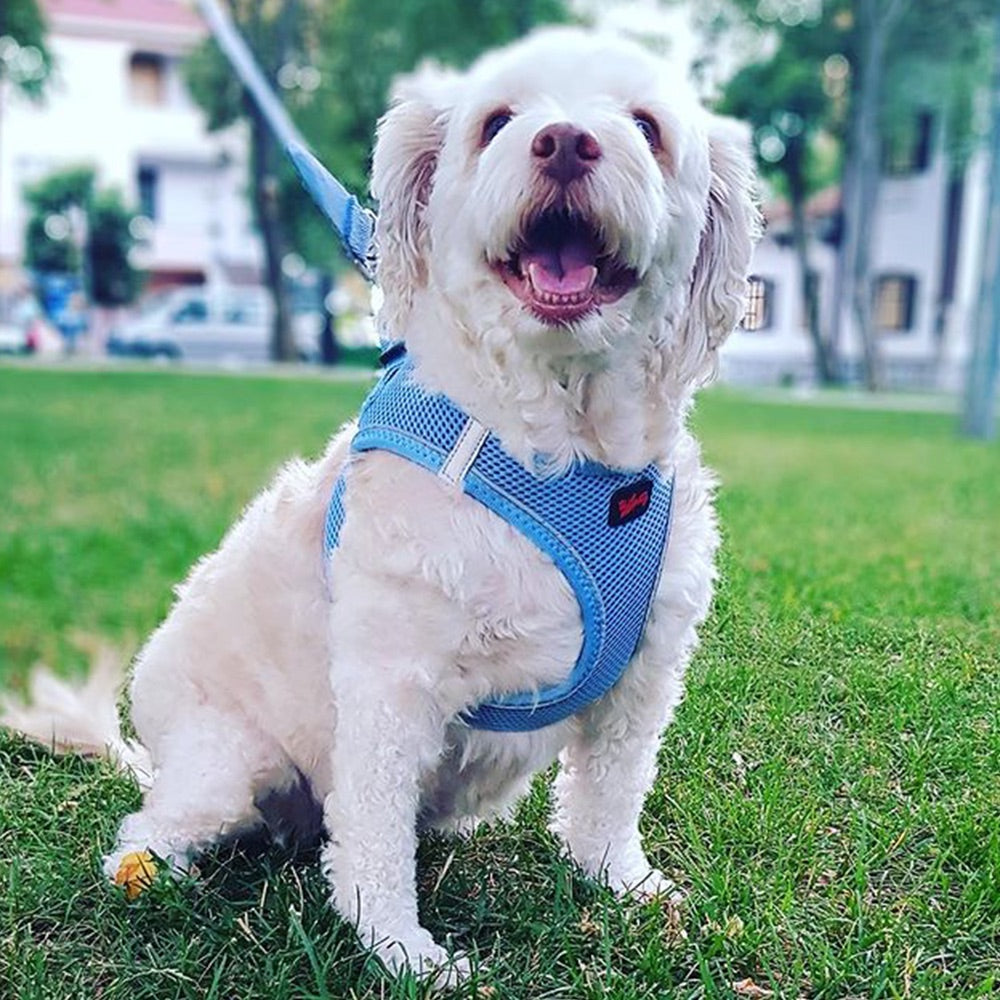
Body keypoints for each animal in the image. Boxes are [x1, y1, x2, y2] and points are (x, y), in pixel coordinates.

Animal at [0, 25, 756, 984]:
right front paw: (404, 952)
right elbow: (372, 841)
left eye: (648, 128)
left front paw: (622, 885)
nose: (565, 142)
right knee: (153, 827)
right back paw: (153, 868)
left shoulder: (646, 671)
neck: (559, 452)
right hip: (223, 764)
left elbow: (609, 798)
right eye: (497, 122)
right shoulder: (391, 685)